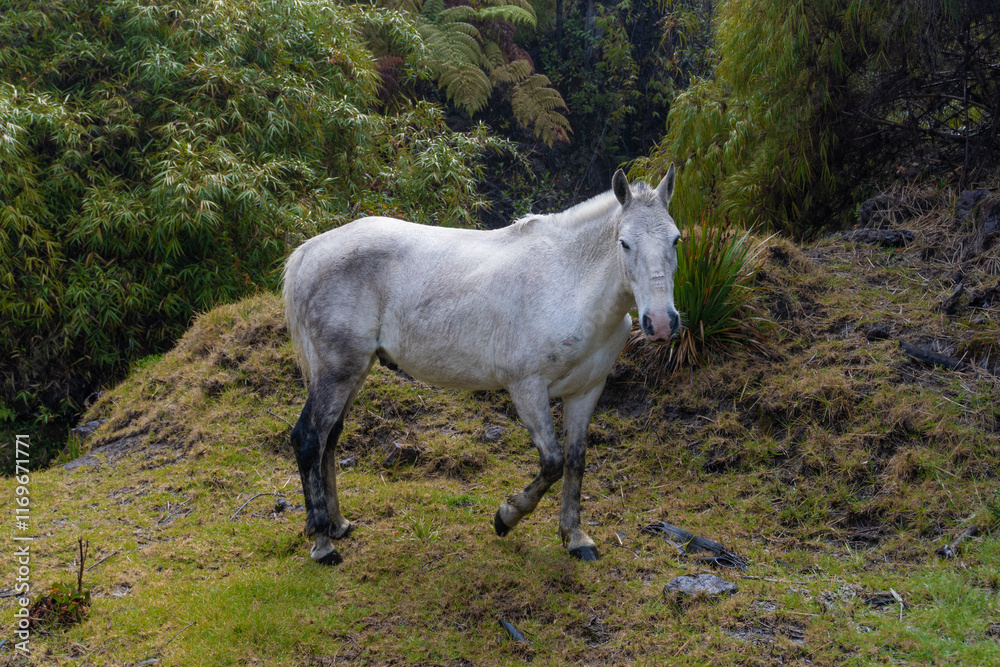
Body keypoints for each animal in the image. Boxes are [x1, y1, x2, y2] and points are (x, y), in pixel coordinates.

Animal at [282, 166, 681, 565]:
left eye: (676, 240)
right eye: (624, 243)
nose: (661, 323)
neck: (569, 283)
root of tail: (309, 251)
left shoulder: (586, 391)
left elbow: (575, 461)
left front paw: (576, 537)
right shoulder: (527, 388)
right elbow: (552, 462)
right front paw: (506, 517)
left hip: (355, 371)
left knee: (329, 438)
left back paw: (338, 525)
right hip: (337, 372)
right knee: (308, 437)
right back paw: (323, 543)